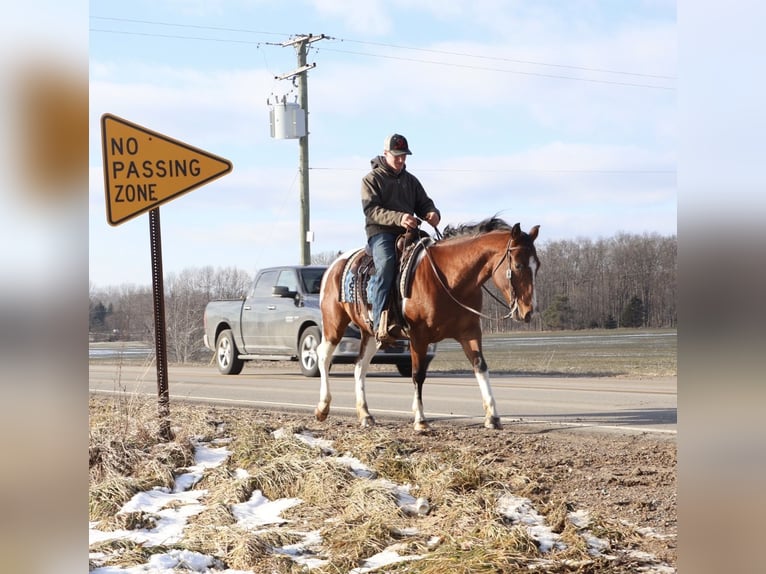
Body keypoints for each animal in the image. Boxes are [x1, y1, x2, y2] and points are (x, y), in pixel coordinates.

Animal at [315, 216, 540, 432]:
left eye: (537, 266)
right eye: (518, 265)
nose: (529, 311)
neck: (447, 279)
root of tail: (334, 265)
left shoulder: (470, 333)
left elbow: (480, 367)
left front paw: (493, 417)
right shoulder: (418, 337)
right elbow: (418, 375)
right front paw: (420, 420)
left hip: (370, 334)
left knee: (360, 366)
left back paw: (365, 414)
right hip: (334, 325)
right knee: (324, 356)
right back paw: (322, 408)